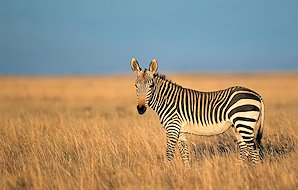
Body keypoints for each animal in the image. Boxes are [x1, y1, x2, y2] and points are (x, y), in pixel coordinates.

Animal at [130, 58, 266, 165]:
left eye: (151, 86)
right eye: (136, 85)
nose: (141, 109)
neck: (167, 101)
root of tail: (257, 95)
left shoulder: (172, 128)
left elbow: (169, 153)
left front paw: (167, 173)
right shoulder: (181, 131)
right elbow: (184, 154)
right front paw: (186, 173)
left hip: (244, 122)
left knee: (254, 150)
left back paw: (253, 172)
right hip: (238, 126)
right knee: (245, 149)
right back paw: (241, 170)